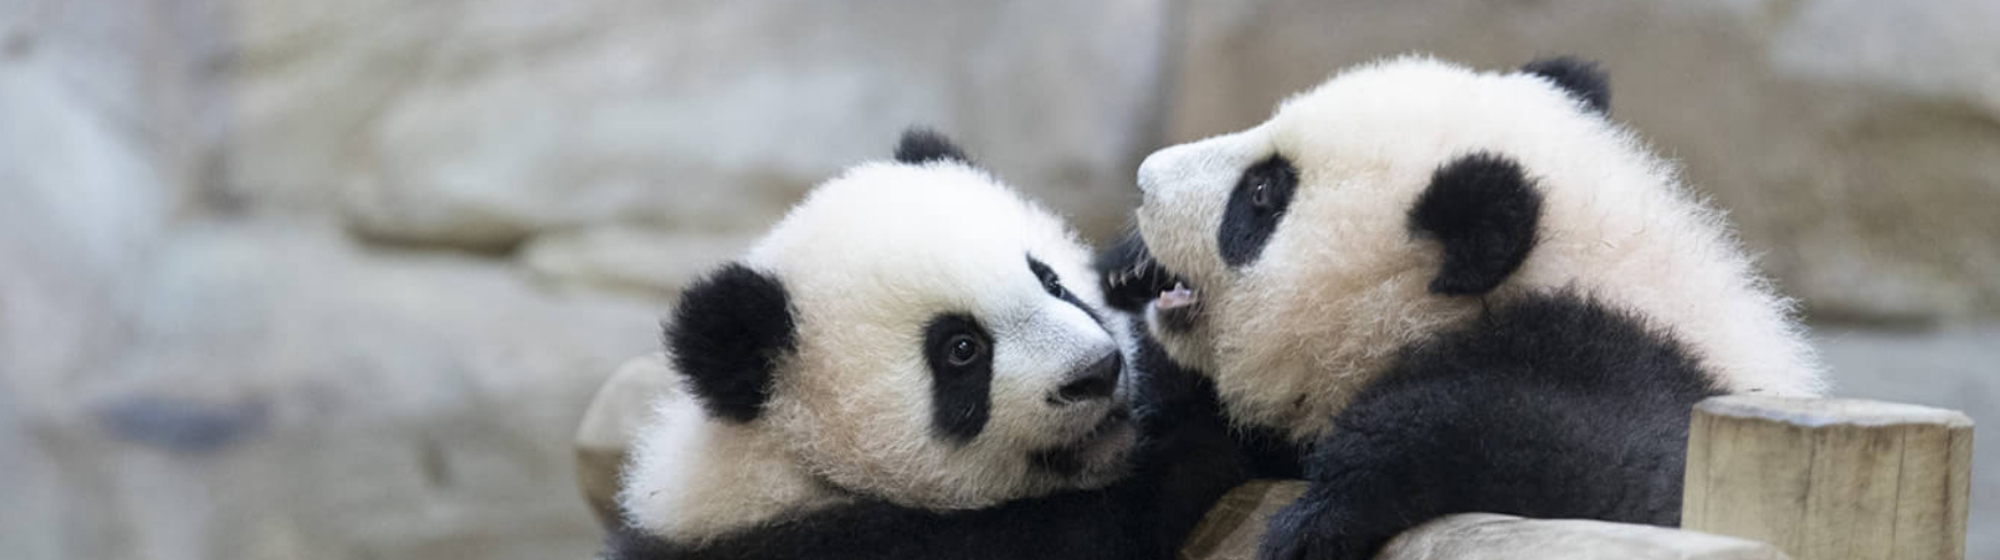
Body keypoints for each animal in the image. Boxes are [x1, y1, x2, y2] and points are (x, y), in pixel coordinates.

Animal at [605, 130, 1244, 560]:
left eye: (1051, 281)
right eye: (961, 349)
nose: (1096, 371)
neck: (787, 457)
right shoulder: (817, 544)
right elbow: (1100, 523)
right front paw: (1212, 435)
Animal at [1098, 55, 1829, 560]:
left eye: (1262, 194)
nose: (1144, 178)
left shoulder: (1646, 379)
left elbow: (1603, 464)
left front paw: (1317, 517)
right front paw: (1126, 270)